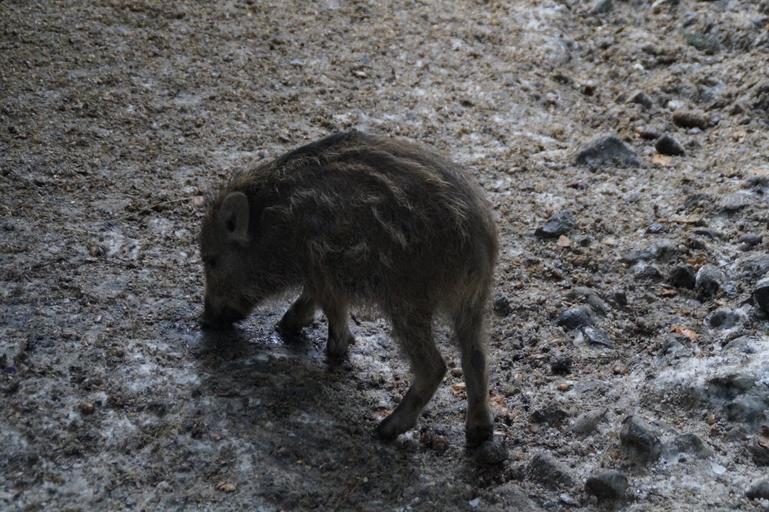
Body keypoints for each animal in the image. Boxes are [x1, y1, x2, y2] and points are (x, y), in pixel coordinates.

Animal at [199, 130, 500, 452]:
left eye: (212, 259)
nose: (206, 320)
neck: (275, 223)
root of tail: (479, 239)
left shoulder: (323, 268)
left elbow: (333, 315)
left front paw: (331, 351)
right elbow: (312, 300)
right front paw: (287, 326)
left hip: (406, 299)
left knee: (434, 366)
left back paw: (386, 428)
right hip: (472, 303)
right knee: (476, 358)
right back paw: (479, 433)